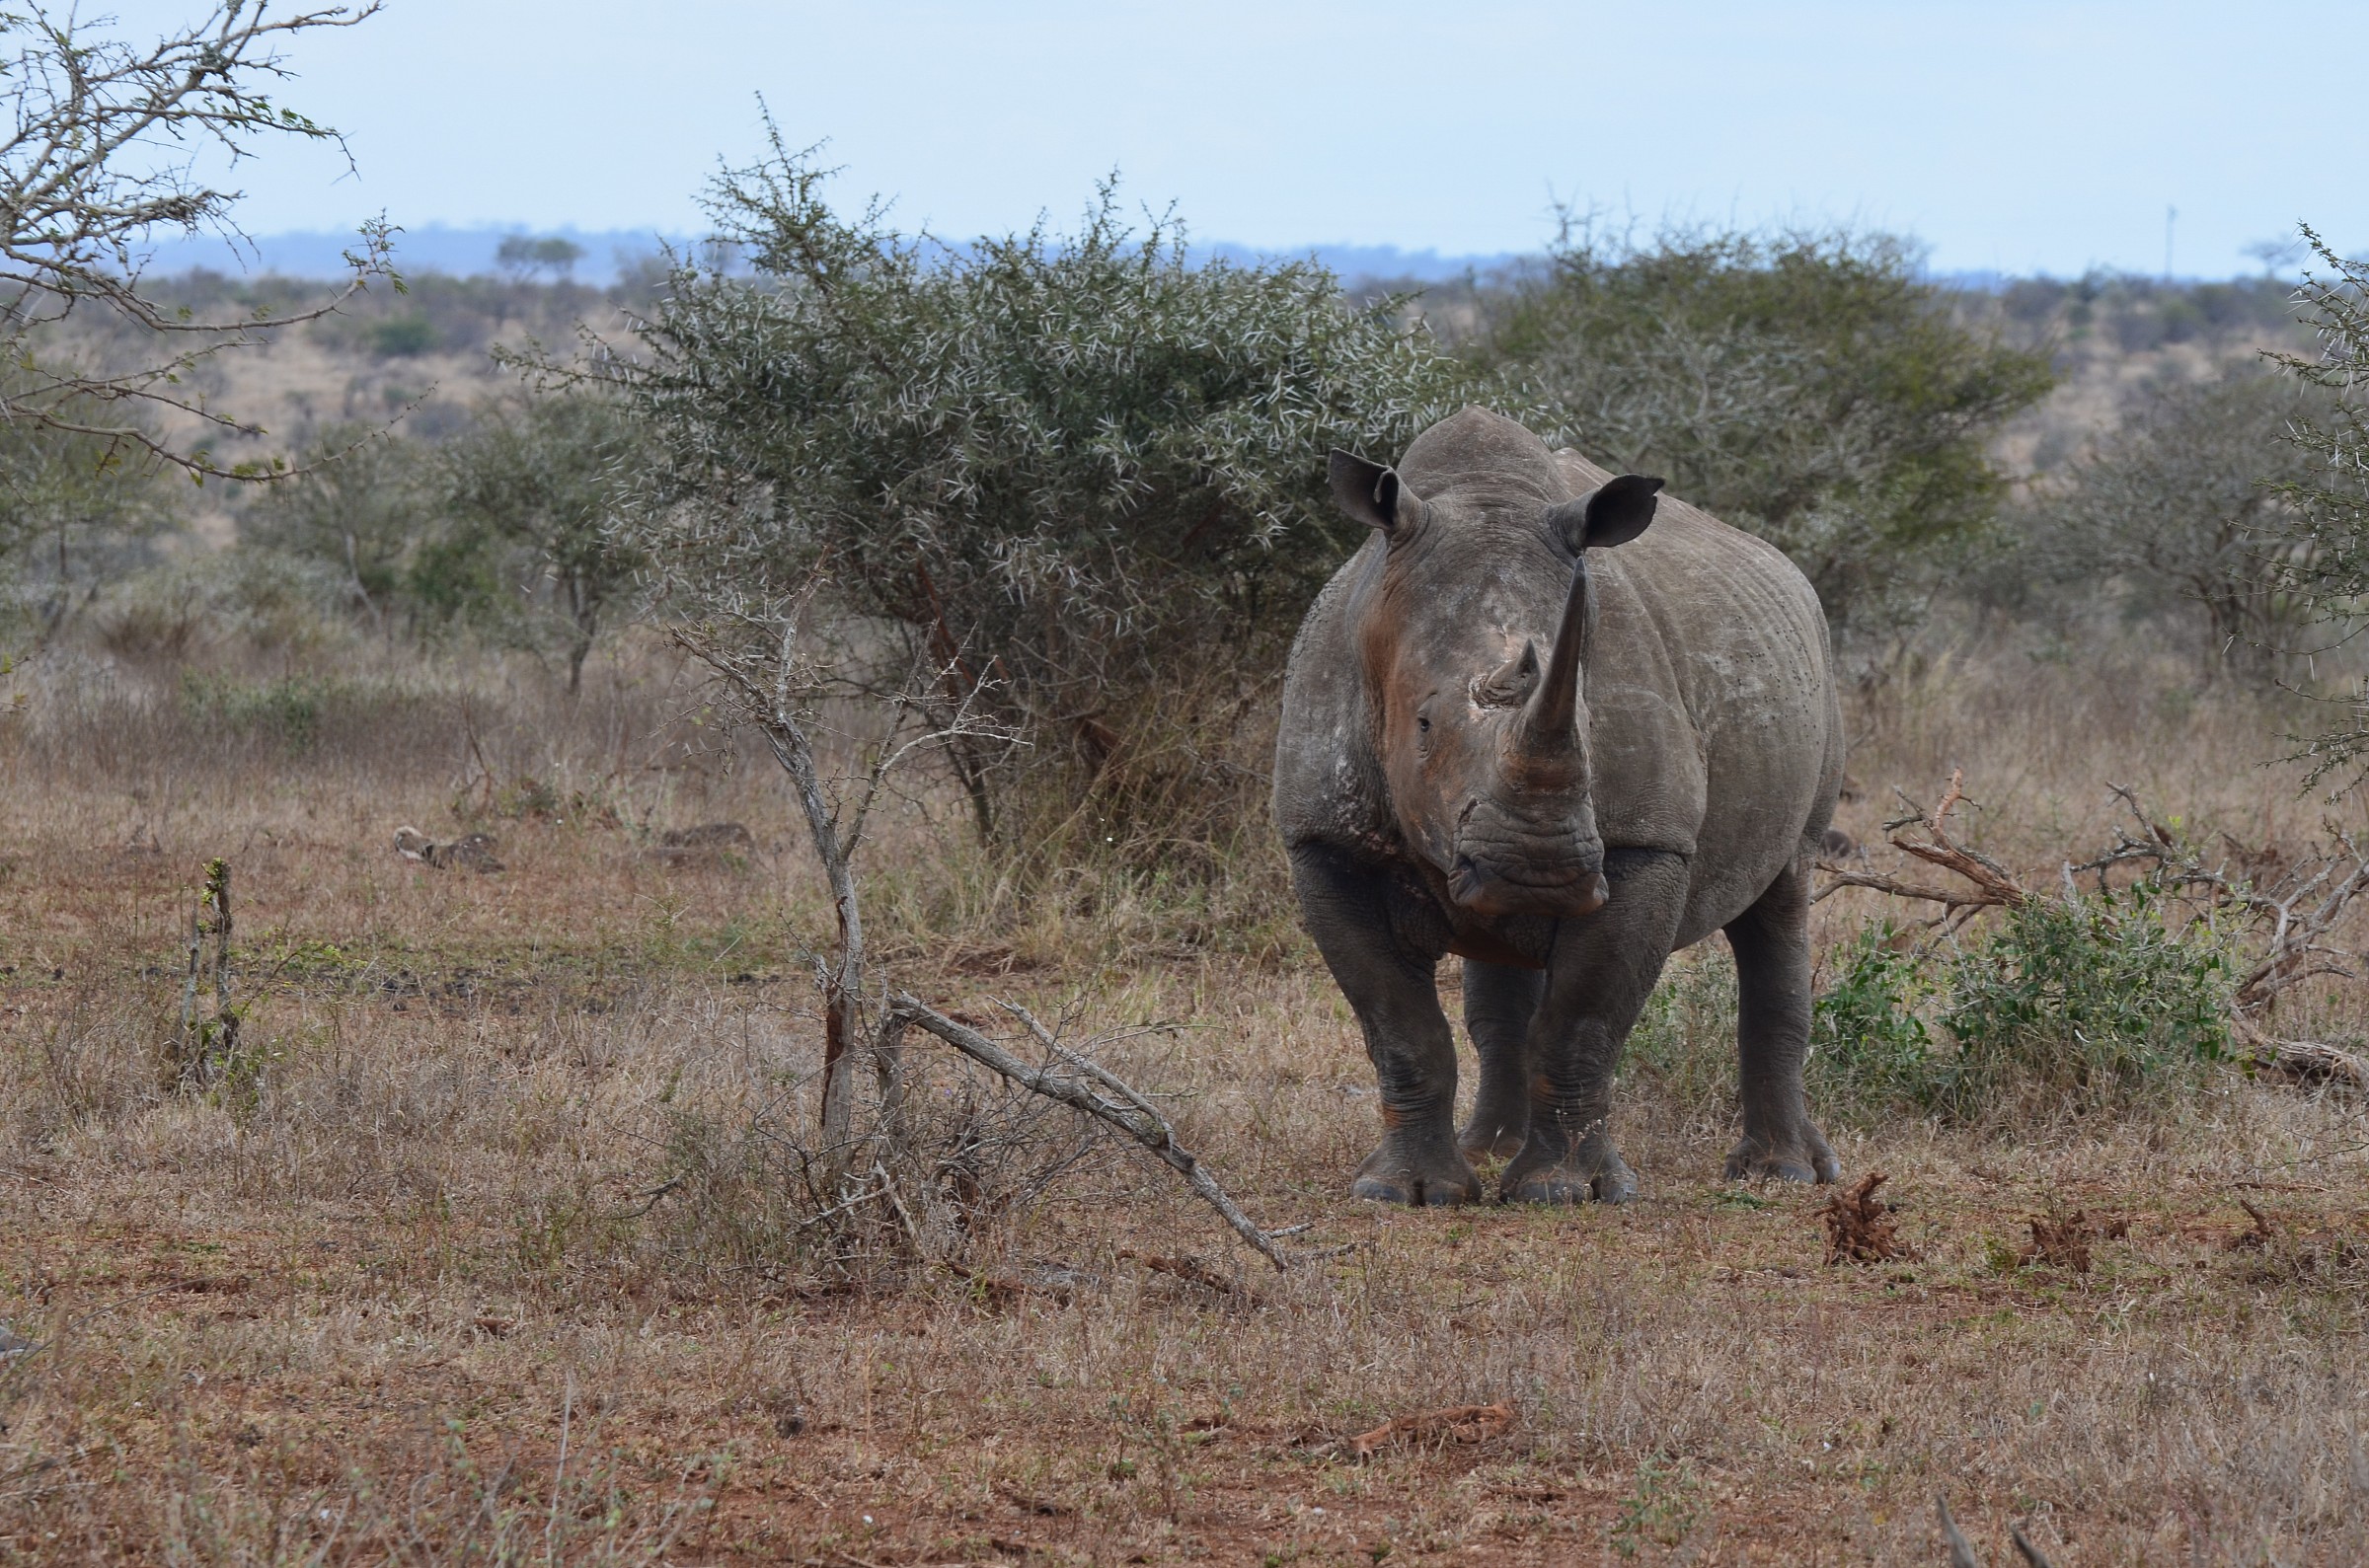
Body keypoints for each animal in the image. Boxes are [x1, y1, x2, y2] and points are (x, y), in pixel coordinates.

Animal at [1274, 407, 1844, 1204]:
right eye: (1422, 725)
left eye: (1590, 724)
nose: (1540, 867)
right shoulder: (1324, 839)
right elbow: (1401, 1029)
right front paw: (1407, 1192)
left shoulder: (1645, 844)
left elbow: (1582, 1023)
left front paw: (1567, 1192)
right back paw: (1490, 1148)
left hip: (1816, 674)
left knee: (1784, 892)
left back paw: (1783, 1173)